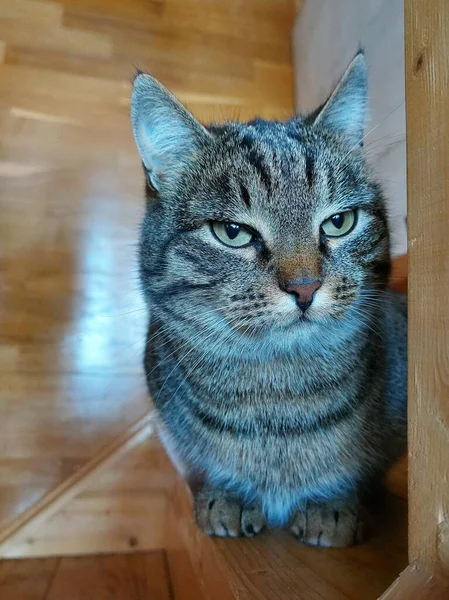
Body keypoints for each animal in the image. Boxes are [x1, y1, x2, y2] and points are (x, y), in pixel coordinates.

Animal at [130, 52, 406, 548]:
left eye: (339, 222)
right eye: (232, 232)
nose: (305, 287)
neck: (278, 396)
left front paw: (332, 503)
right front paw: (227, 495)